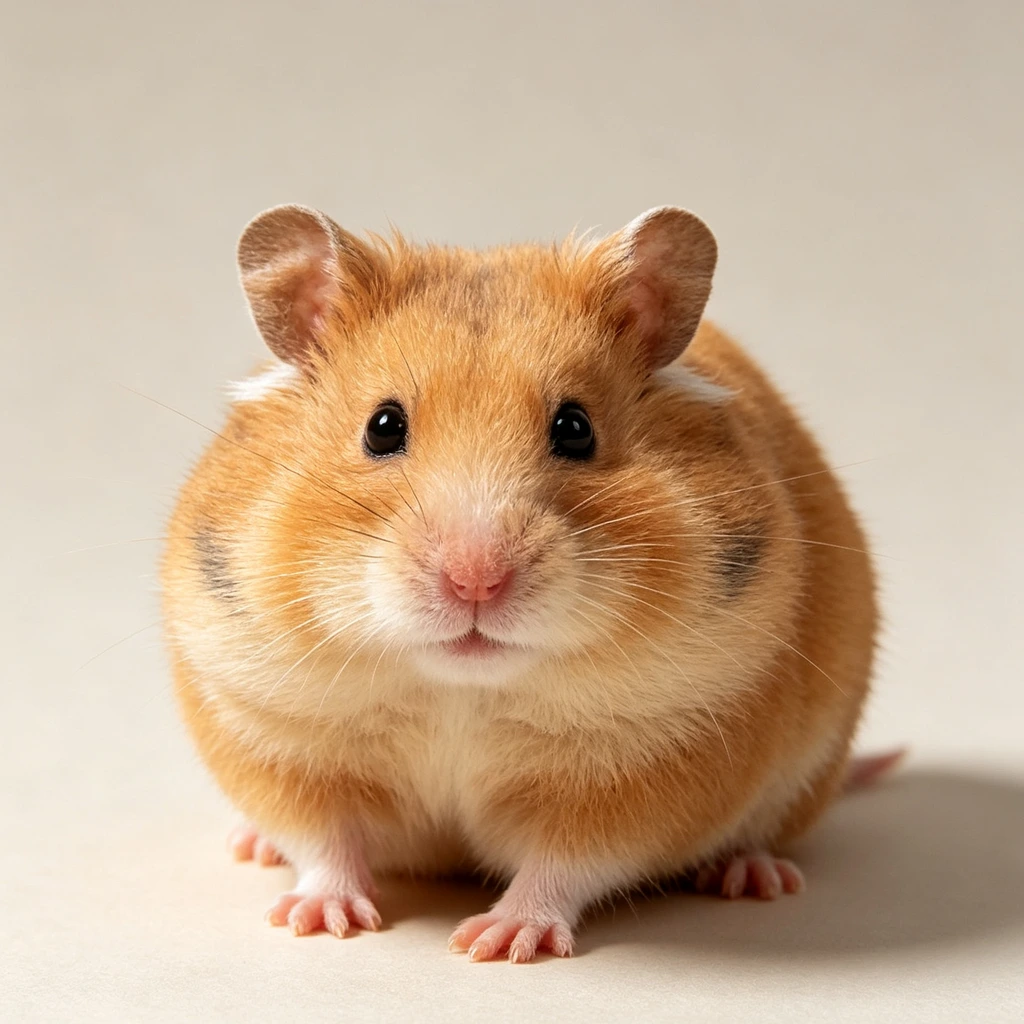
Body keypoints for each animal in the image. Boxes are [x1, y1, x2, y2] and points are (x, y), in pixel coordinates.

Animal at [161, 203, 878, 963]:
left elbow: (564, 865)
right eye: (382, 427)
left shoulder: (648, 768)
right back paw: (253, 846)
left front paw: (495, 942)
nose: (476, 582)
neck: (460, 690)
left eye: (576, 428)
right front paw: (315, 921)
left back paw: (753, 877)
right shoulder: (277, 734)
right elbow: (324, 841)